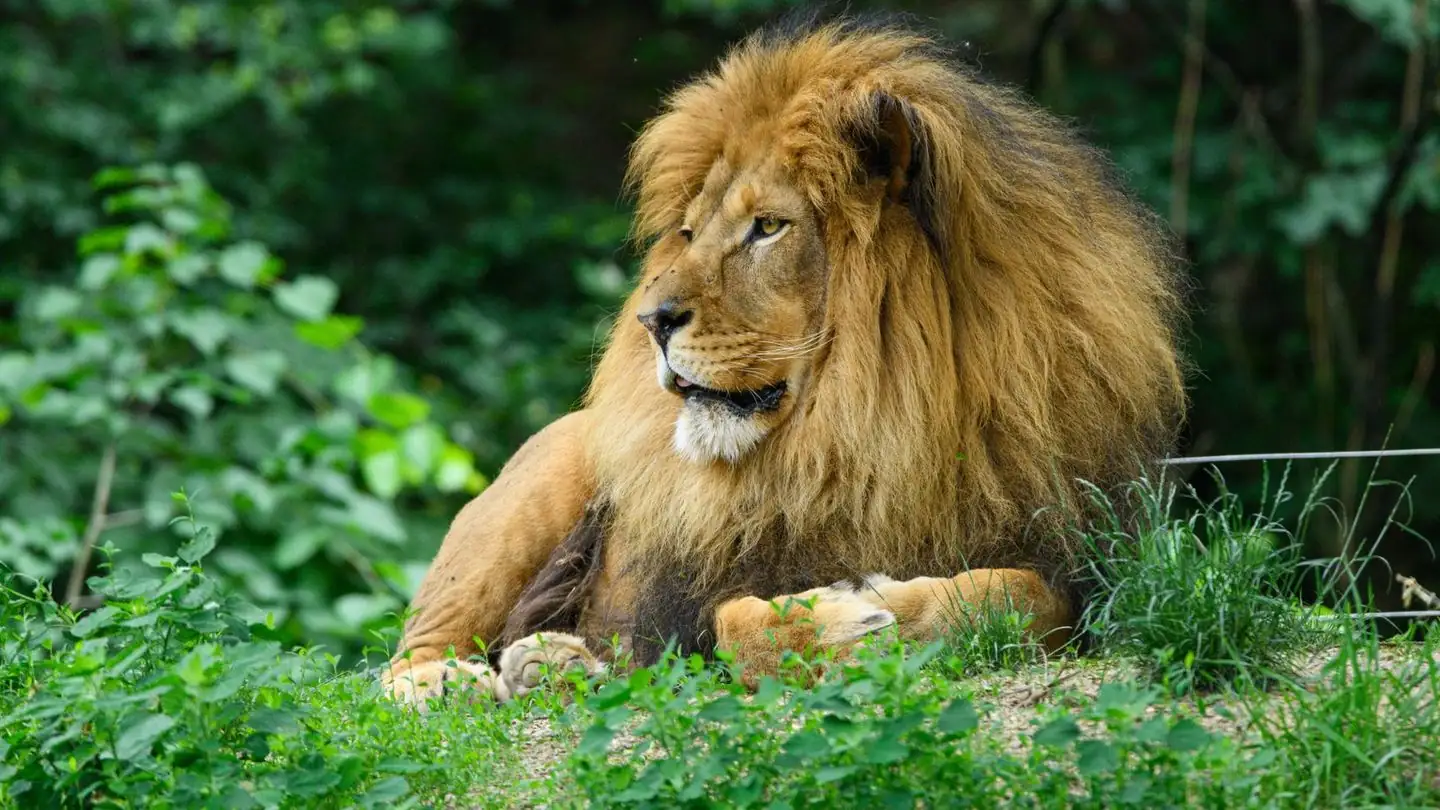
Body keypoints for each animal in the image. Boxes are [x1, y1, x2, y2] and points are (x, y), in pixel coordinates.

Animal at [381, 13, 1188, 706]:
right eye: (688, 232)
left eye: (767, 227)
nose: (651, 320)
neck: (860, 435)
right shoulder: (688, 608)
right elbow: (734, 623)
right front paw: (848, 624)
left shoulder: (1075, 567)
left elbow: (1008, 597)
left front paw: (886, 609)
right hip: (531, 489)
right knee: (405, 654)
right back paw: (449, 683)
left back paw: (552, 664)